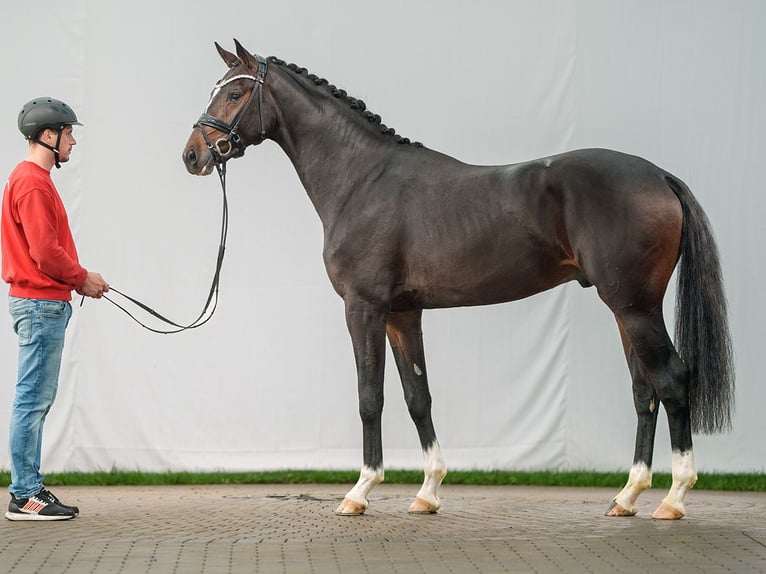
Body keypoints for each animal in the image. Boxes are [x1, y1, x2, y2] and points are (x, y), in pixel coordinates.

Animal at [183, 39, 736, 520]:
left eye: (235, 92)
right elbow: (418, 398)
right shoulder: (403, 314)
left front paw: (359, 492)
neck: (362, 180)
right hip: (626, 309)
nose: (192, 155)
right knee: (645, 392)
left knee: (673, 380)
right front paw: (427, 493)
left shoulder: (364, 308)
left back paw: (674, 499)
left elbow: (369, 397)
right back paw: (626, 497)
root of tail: (659, 176)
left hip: (635, 307)